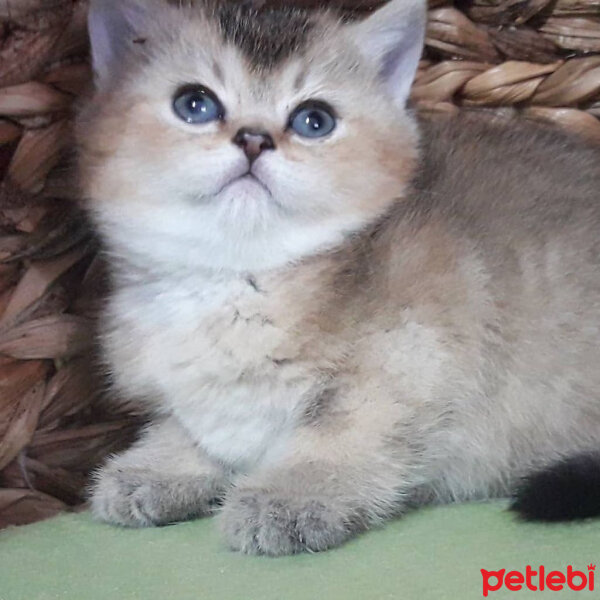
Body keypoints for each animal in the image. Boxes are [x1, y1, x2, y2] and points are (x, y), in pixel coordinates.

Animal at [81, 0, 600, 556]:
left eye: (314, 120)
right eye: (194, 104)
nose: (254, 139)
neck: (238, 284)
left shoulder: (416, 361)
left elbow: (338, 435)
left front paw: (290, 496)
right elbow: (191, 427)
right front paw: (158, 467)